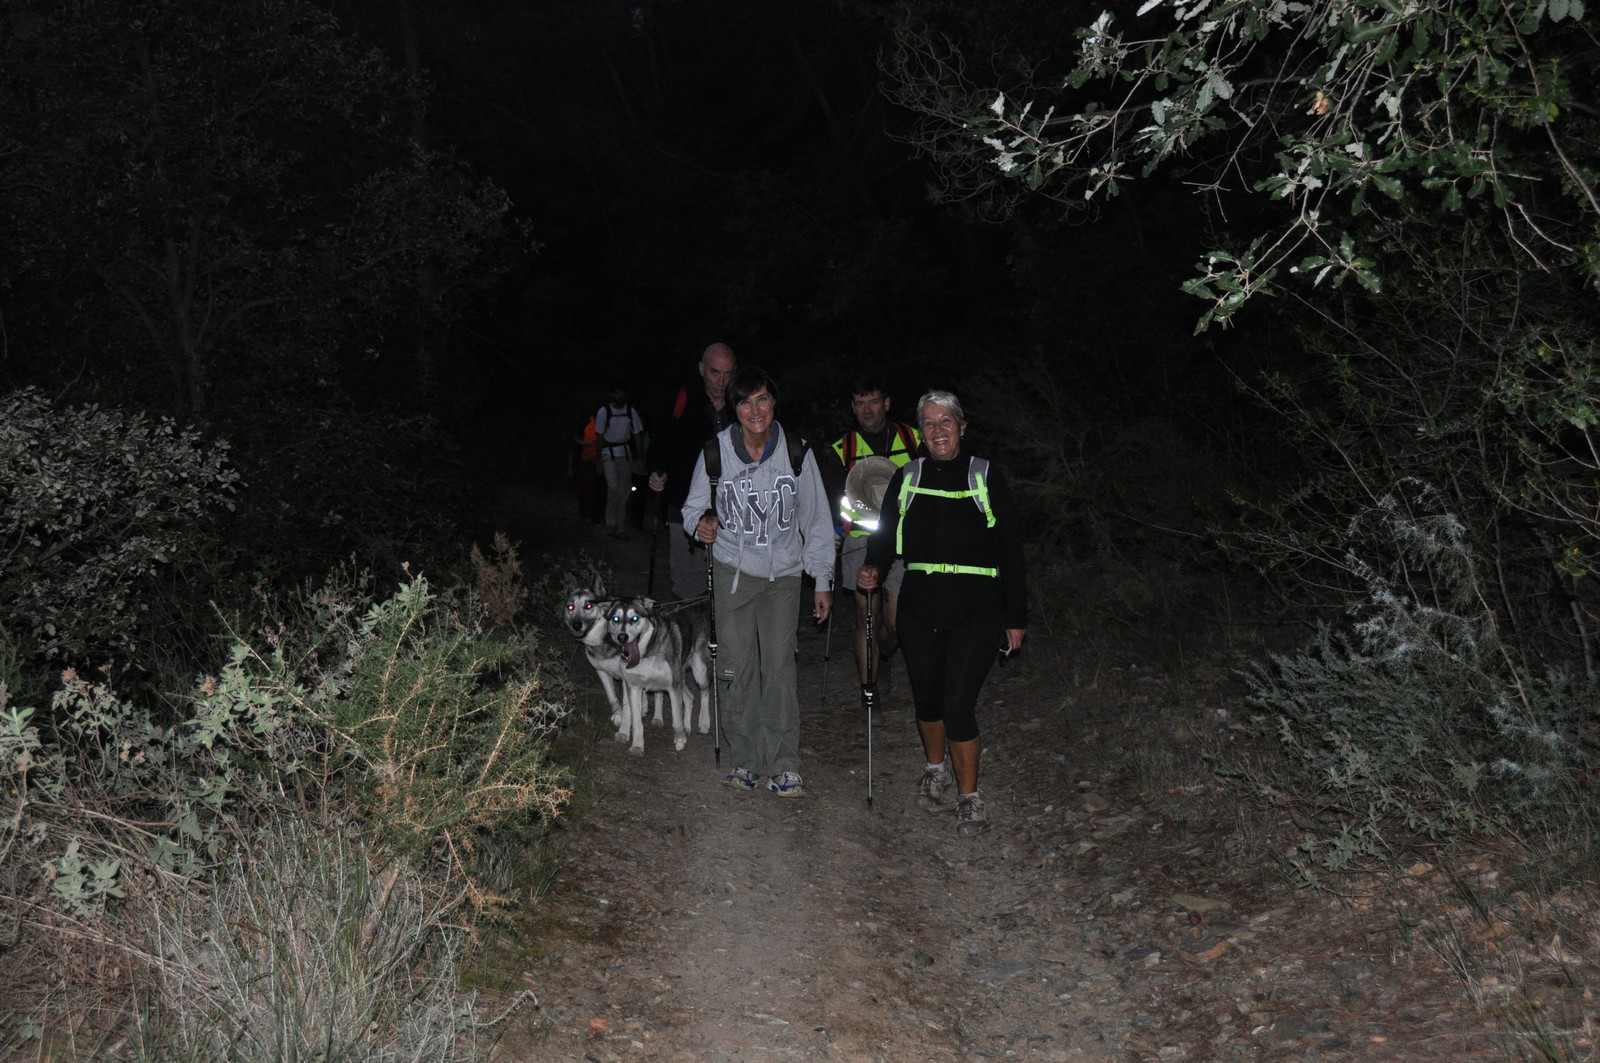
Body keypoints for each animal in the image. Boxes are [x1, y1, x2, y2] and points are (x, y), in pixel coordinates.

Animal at [605, 595, 712, 754]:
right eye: (615, 619)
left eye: (635, 618)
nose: (622, 637)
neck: (645, 654)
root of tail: (698, 608)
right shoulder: (634, 687)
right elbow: (637, 721)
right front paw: (637, 746)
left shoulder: (673, 687)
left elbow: (676, 718)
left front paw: (680, 739)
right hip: (680, 677)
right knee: (690, 698)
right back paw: (687, 727)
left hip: (699, 672)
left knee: (705, 692)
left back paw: (704, 722)